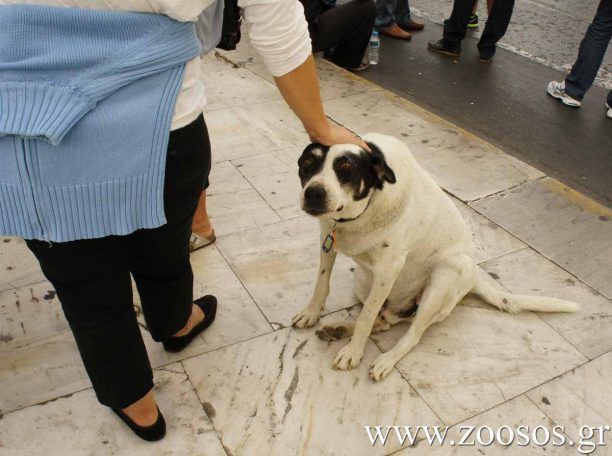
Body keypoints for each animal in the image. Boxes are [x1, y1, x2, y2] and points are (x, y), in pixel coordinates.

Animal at [292, 133, 580, 382]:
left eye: (346, 168)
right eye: (307, 163)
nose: (314, 193)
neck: (358, 216)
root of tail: (474, 277)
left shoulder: (389, 268)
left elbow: (365, 318)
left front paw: (353, 353)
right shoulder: (327, 239)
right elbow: (322, 284)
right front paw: (311, 314)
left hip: (443, 279)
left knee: (411, 333)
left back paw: (385, 359)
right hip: (363, 281)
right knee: (384, 321)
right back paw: (339, 329)